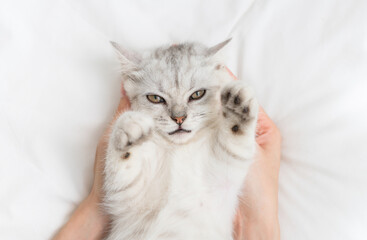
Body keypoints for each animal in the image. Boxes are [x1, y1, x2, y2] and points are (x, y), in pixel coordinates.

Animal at [103, 39, 258, 240]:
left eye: (197, 94)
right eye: (155, 98)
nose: (179, 118)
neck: (178, 150)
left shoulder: (224, 171)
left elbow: (235, 137)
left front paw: (238, 102)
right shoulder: (127, 195)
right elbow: (119, 166)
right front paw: (130, 126)